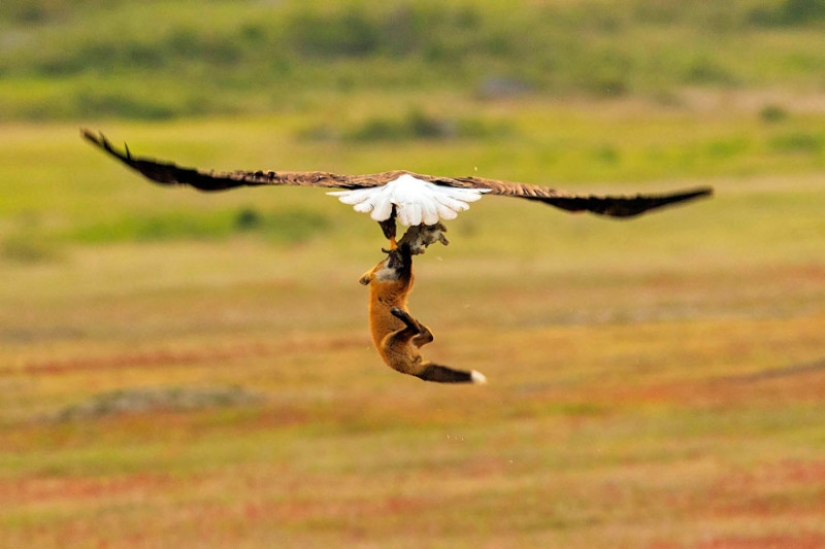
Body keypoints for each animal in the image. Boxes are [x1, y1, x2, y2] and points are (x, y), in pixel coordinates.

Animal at [359, 225, 487, 384]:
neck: (379, 282)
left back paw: (414, 322)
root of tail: (410, 370)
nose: (393, 250)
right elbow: (408, 270)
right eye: (387, 259)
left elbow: (409, 273)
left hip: (412, 340)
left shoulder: (401, 284)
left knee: (427, 335)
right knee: (417, 330)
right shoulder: (399, 284)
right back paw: (403, 316)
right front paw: (406, 251)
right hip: (390, 341)